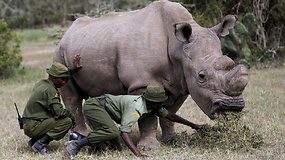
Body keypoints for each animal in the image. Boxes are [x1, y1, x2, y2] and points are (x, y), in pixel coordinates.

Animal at [53, 0, 246, 149]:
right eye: (202, 76)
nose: (233, 107)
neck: (178, 48)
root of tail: (67, 32)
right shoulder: (142, 83)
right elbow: (148, 118)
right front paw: (150, 148)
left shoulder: (181, 83)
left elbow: (170, 113)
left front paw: (171, 140)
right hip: (60, 53)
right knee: (72, 96)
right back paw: (80, 136)